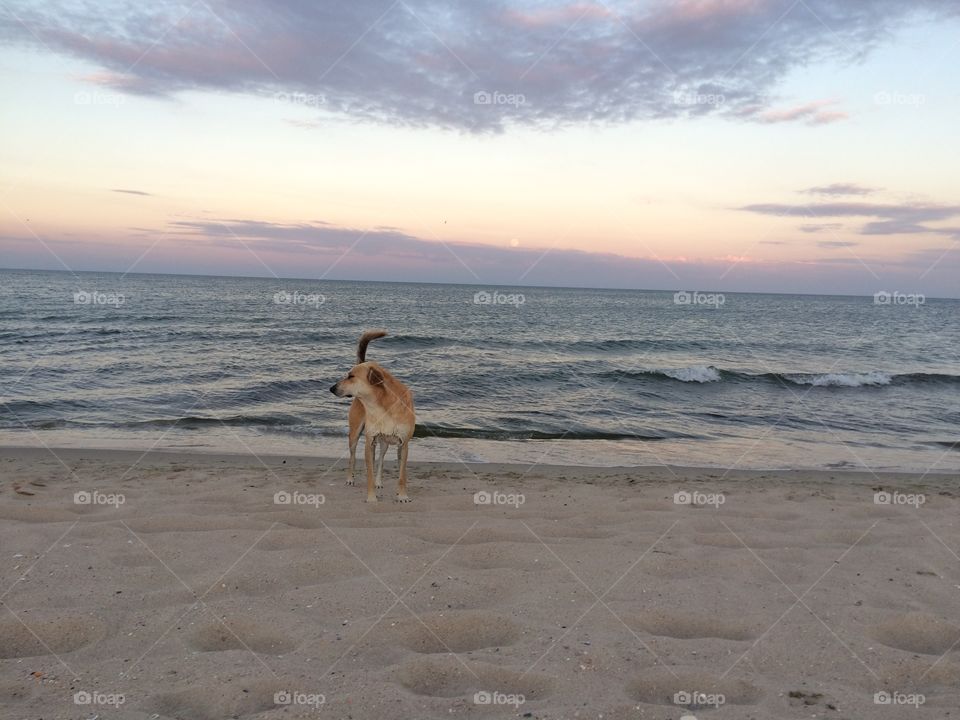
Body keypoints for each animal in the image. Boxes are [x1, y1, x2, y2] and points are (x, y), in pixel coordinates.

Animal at [330, 330, 416, 500]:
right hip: (355, 435)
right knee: (352, 457)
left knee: (381, 459)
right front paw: (371, 498)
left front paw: (402, 495)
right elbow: (369, 471)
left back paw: (379, 481)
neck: (382, 407)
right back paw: (350, 478)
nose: (331, 388)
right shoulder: (369, 442)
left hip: (385, 442)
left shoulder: (404, 444)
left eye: (351, 376)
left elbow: (402, 475)